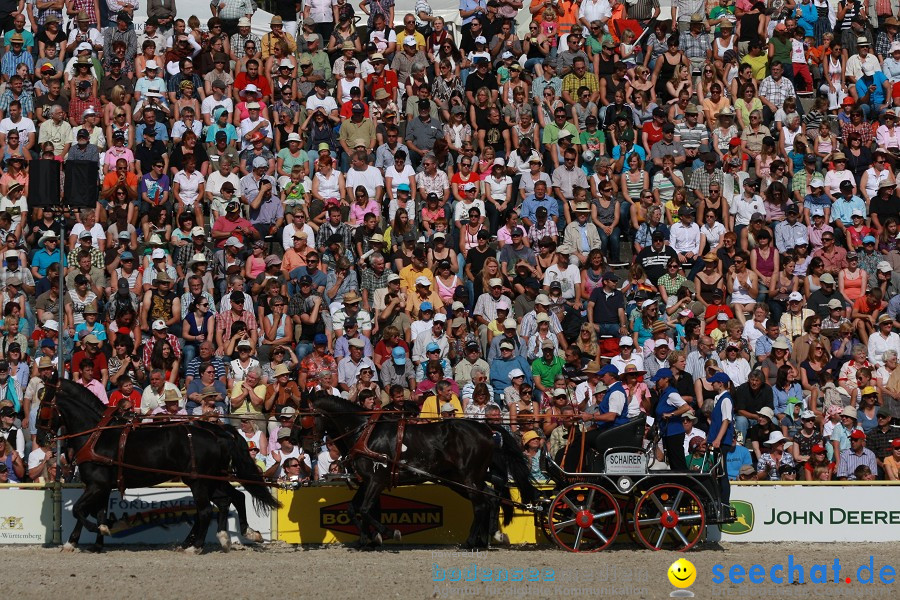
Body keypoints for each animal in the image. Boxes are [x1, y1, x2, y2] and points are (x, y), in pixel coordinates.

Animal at [38, 380, 280, 552]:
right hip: (212, 479)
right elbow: (94, 512)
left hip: (199, 481)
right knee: (231, 499)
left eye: (43, 408)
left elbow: (80, 510)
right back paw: (231, 535)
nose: (40, 437)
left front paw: (95, 532)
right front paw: (86, 542)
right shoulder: (100, 486)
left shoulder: (96, 485)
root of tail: (218, 431)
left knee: (205, 510)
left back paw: (195, 546)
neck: (96, 435)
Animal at [312, 392, 536, 548]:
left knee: (481, 504)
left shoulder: (377, 480)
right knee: (489, 497)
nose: (309, 443)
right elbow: (353, 509)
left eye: (307, 416)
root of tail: (486, 429)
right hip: (463, 479)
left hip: (468, 478)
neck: (365, 432)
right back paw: (489, 536)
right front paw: (365, 539)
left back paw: (471, 541)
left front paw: (389, 533)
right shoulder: (367, 481)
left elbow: (365, 509)